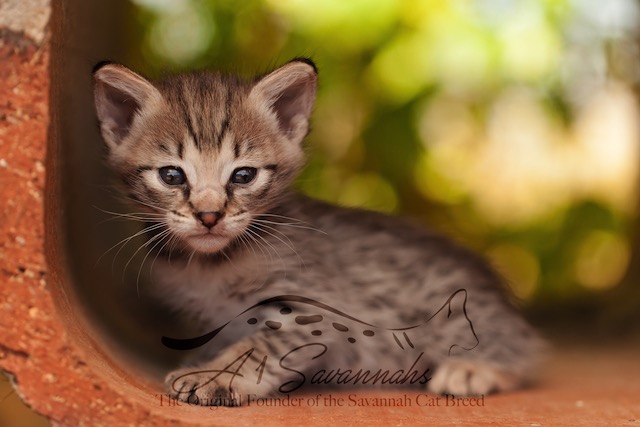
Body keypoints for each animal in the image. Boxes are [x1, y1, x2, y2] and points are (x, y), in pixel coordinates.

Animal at [94, 58, 544, 406]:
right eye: (172, 175)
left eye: (243, 175)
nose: (209, 216)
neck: (210, 263)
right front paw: (205, 362)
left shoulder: (317, 308)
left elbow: (260, 345)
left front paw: (216, 375)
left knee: (527, 347)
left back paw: (474, 367)